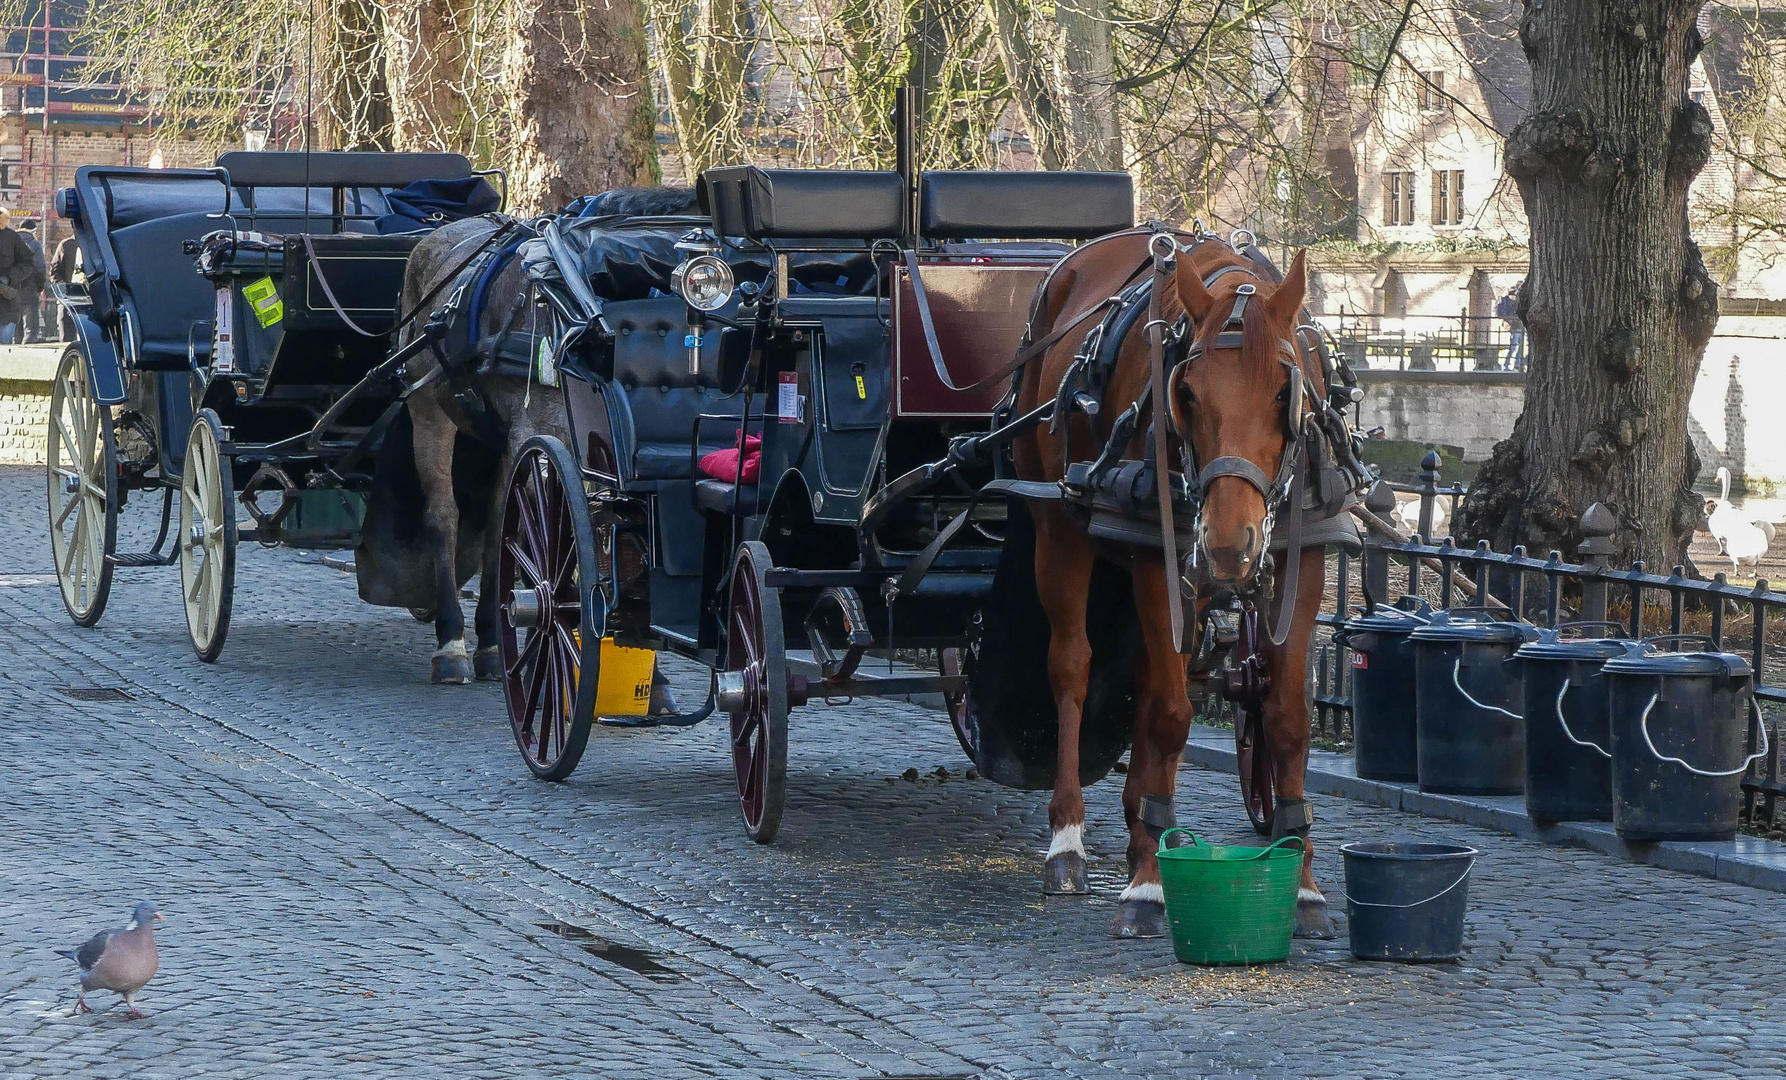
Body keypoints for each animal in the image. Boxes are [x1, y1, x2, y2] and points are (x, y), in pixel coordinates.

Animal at [1014, 227, 1335, 935]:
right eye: (1186, 395)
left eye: (1284, 393)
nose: (1228, 544)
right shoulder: (1156, 564)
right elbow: (1167, 716)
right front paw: (1145, 887)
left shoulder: (1308, 561)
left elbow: (1287, 718)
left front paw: (1302, 882)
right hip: (1058, 529)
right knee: (1072, 668)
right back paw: (1069, 840)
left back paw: (1141, 826)